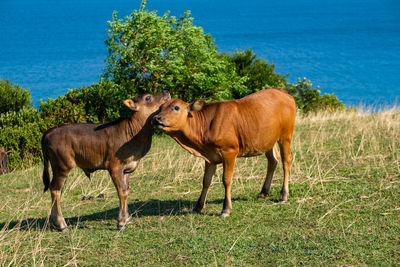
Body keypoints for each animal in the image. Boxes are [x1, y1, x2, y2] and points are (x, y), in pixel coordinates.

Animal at [41, 91, 170, 231]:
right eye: (148, 97)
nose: (166, 92)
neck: (135, 134)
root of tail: (49, 131)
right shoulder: (115, 166)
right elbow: (122, 191)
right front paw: (121, 222)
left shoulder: (126, 169)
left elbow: (127, 190)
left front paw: (127, 219)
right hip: (62, 165)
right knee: (55, 189)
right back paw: (61, 224)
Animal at [153, 89, 296, 218]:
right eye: (160, 107)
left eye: (176, 107)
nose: (156, 118)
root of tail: (283, 92)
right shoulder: (209, 157)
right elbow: (206, 180)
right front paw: (198, 206)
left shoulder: (229, 152)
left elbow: (226, 180)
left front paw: (225, 209)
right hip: (268, 140)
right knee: (273, 160)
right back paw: (263, 193)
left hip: (285, 136)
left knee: (286, 160)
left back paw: (283, 195)